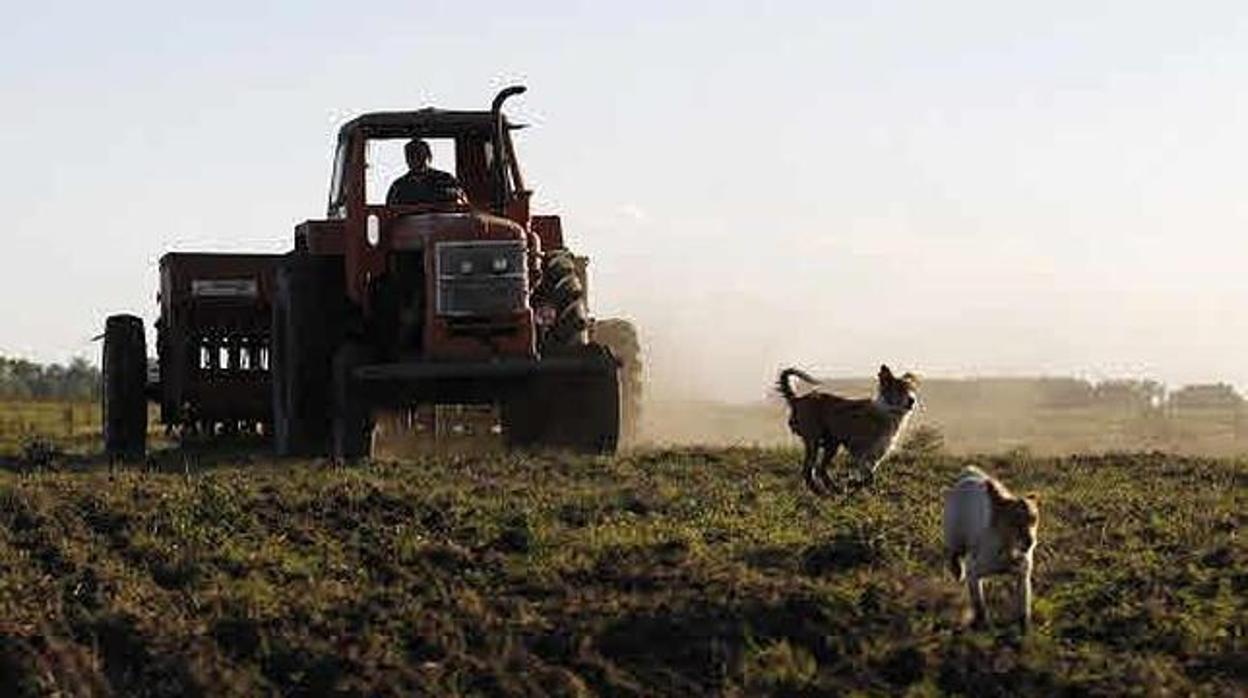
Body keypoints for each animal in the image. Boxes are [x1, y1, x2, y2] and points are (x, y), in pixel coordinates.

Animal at [773, 362, 923, 494]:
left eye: (911, 390)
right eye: (898, 390)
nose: (912, 400)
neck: (887, 412)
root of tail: (797, 400)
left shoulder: (876, 455)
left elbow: (870, 476)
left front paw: (856, 484)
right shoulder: (859, 451)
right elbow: (868, 477)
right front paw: (854, 483)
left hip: (832, 443)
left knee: (820, 469)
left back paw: (834, 489)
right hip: (814, 441)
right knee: (808, 470)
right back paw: (821, 491)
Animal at [943, 469, 1043, 634]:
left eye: (1033, 519)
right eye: (1014, 521)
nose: (1030, 541)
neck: (1007, 548)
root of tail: (969, 474)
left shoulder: (1022, 576)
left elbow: (1024, 608)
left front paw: (1025, 630)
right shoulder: (973, 572)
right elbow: (979, 605)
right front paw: (982, 625)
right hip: (955, 536)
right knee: (953, 553)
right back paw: (957, 570)